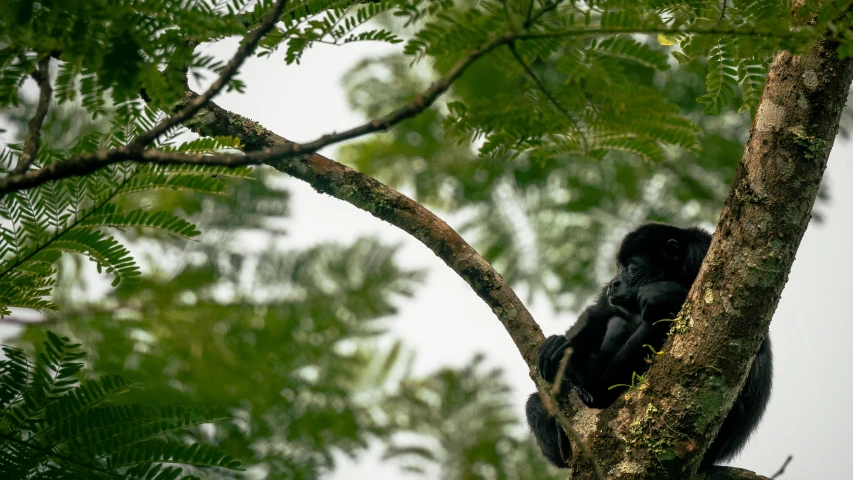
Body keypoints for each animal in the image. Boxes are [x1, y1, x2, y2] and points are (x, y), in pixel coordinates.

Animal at [524, 224, 772, 468]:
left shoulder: (704, 254)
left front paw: (663, 293)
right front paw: (560, 347)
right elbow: (599, 311)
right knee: (534, 403)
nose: (614, 283)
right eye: (618, 268)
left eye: (632, 269)